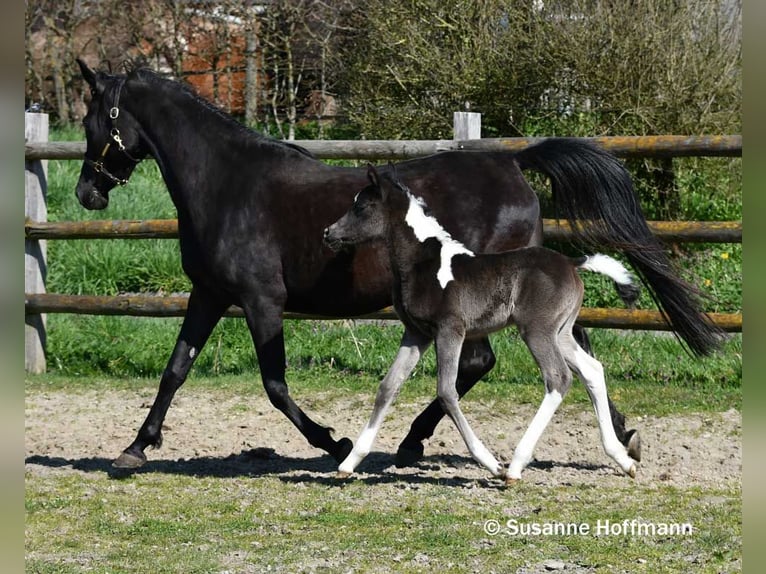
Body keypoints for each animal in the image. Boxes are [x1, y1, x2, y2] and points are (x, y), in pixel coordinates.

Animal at [324, 166, 641, 482]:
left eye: (361, 206)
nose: (328, 232)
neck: (422, 262)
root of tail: (572, 263)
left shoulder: (450, 330)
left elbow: (446, 392)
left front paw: (490, 463)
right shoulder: (416, 333)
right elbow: (388, 386)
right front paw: (349, 463)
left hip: (537, 331)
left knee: (558, 378)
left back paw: (515, 466)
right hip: (560, 332)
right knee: (592, 370)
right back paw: (622, 458)